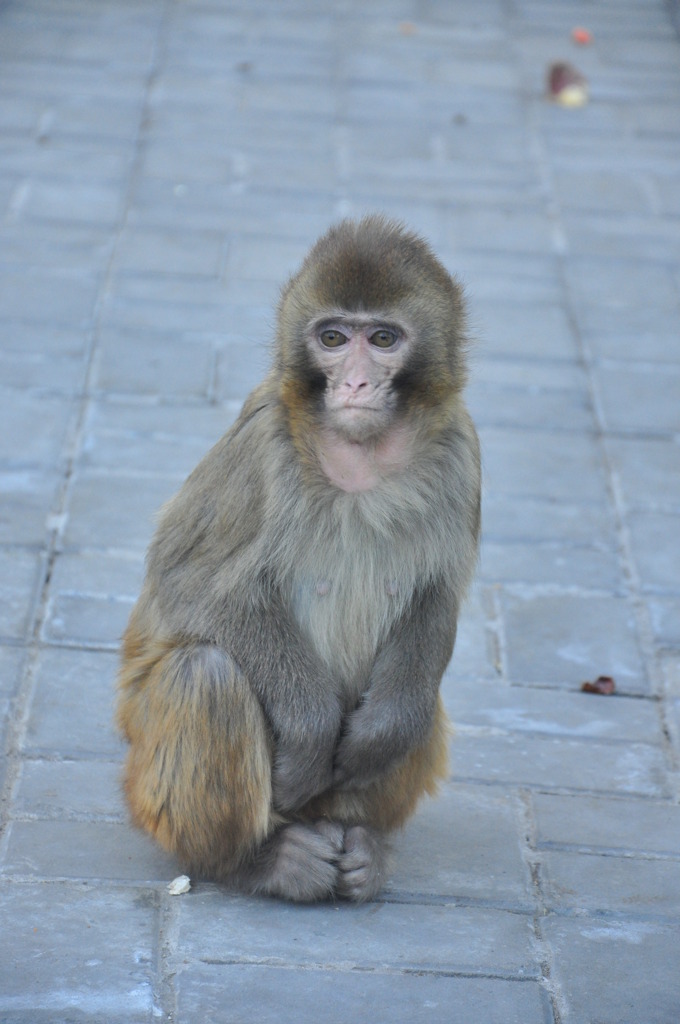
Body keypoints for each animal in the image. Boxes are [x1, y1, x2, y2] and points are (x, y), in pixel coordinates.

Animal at [116, 211, 481, 901]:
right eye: (333, 338)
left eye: (383, 339)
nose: (356, 383)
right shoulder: (263, 441)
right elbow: (186, 582)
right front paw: (310, 729)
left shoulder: (461, 448)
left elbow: (437, 594)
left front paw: (381, 733)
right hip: (148, 784)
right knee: (205, 673)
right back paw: (253, 862)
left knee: (422, 696)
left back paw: (363, 843)